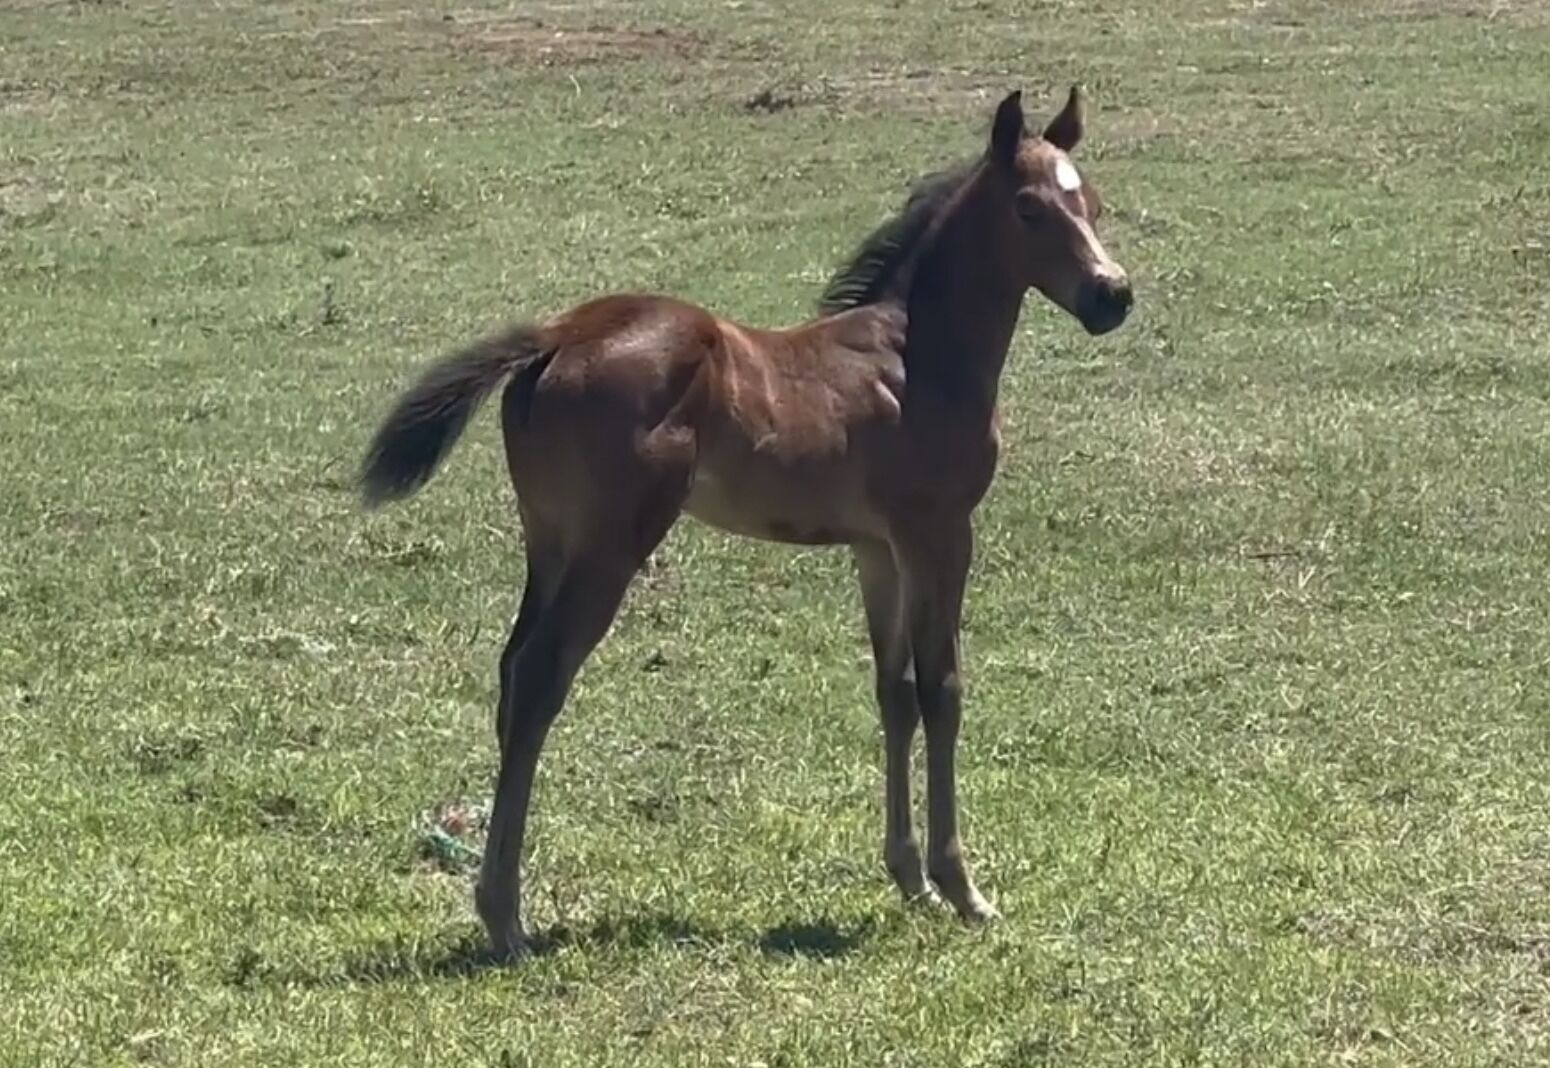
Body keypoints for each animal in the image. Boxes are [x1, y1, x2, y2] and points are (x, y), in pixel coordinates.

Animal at [359, 87, 1133, 958]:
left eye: (1092, 203)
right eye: (1031, 209)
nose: (1113, 295)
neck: (916, 356)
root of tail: (556, 336)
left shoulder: (876, 548)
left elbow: (894, 692)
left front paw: (910, 878)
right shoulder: (938, 533)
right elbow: (944, 690)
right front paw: (963, 888)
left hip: (550, 540)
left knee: (510, 669)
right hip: (610, 546)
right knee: (539, 678)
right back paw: (506, 919)